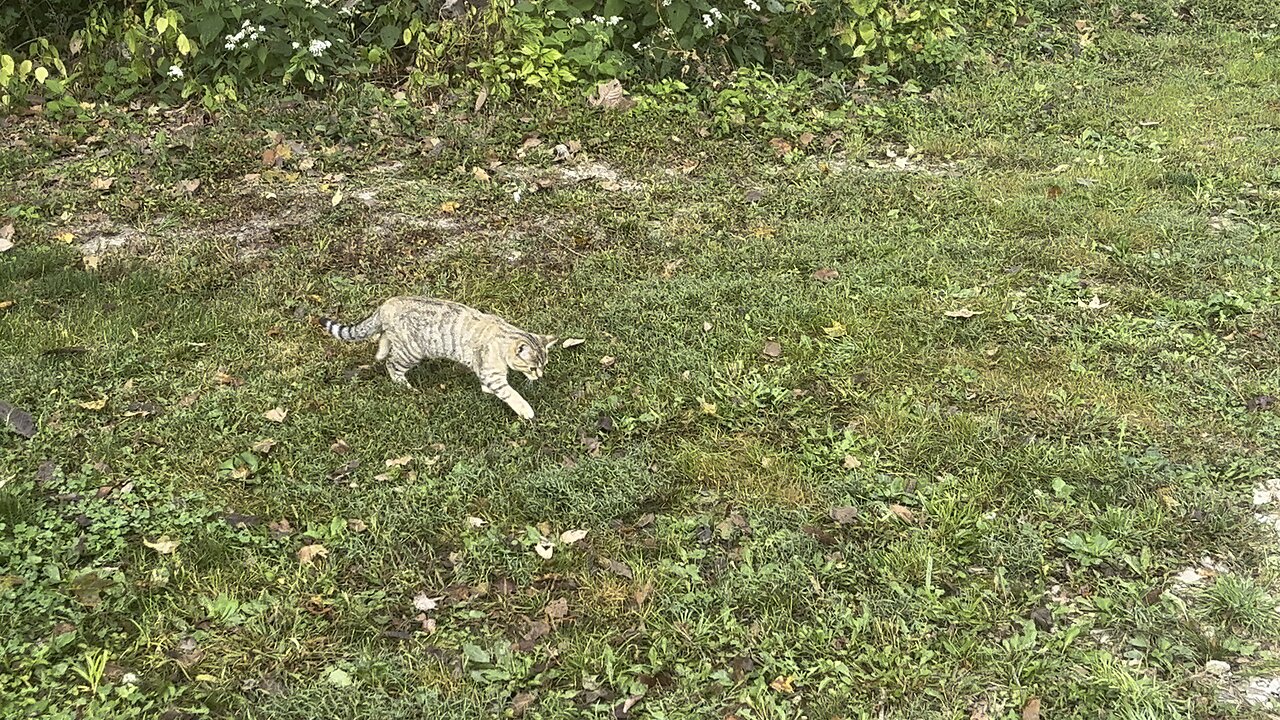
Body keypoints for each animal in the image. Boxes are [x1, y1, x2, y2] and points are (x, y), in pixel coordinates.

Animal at [318, 297, 555, 420]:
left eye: (544, 365)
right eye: (532, 368)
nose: (540, 376)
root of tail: (386, 304)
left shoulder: (486, 372)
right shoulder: (492, 374)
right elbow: (510, 393)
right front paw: (526, 410)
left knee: (383, 339)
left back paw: (381, 351)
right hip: (411, 351)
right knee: (392, 364)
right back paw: (405, 386)